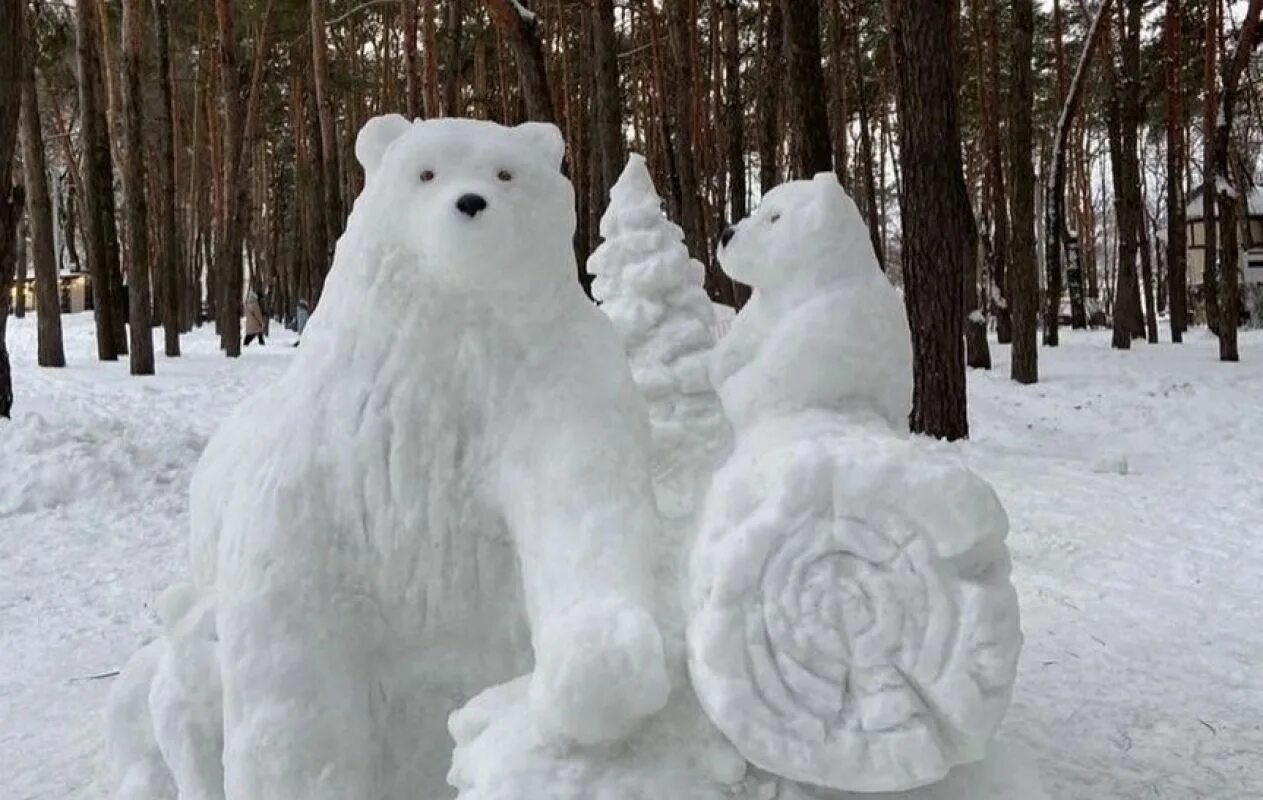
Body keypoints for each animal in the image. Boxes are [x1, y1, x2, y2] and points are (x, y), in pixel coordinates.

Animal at [181, 115, 671, 793]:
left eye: (505, 172)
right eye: (426, 172)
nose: (471, 203)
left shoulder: (544, 388)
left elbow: (582, 503)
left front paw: (598, 669)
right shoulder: (334, 455)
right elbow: (293, 625)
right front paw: (298, 771)